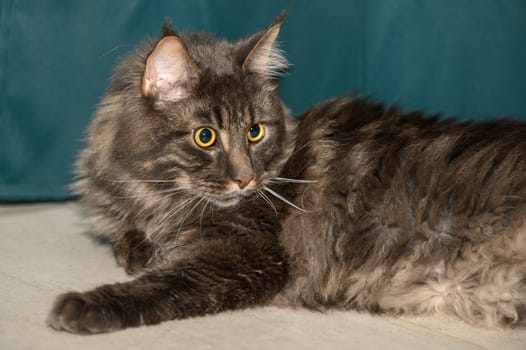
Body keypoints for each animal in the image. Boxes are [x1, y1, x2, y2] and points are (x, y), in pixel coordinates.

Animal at [48, 17, 526, 334]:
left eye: (255, 131)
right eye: (206, 137)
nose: (245, 180)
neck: (153, 192)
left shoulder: (248, 253)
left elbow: (166, 282)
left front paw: (84, 305)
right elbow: (130, 243)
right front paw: (142, 247)